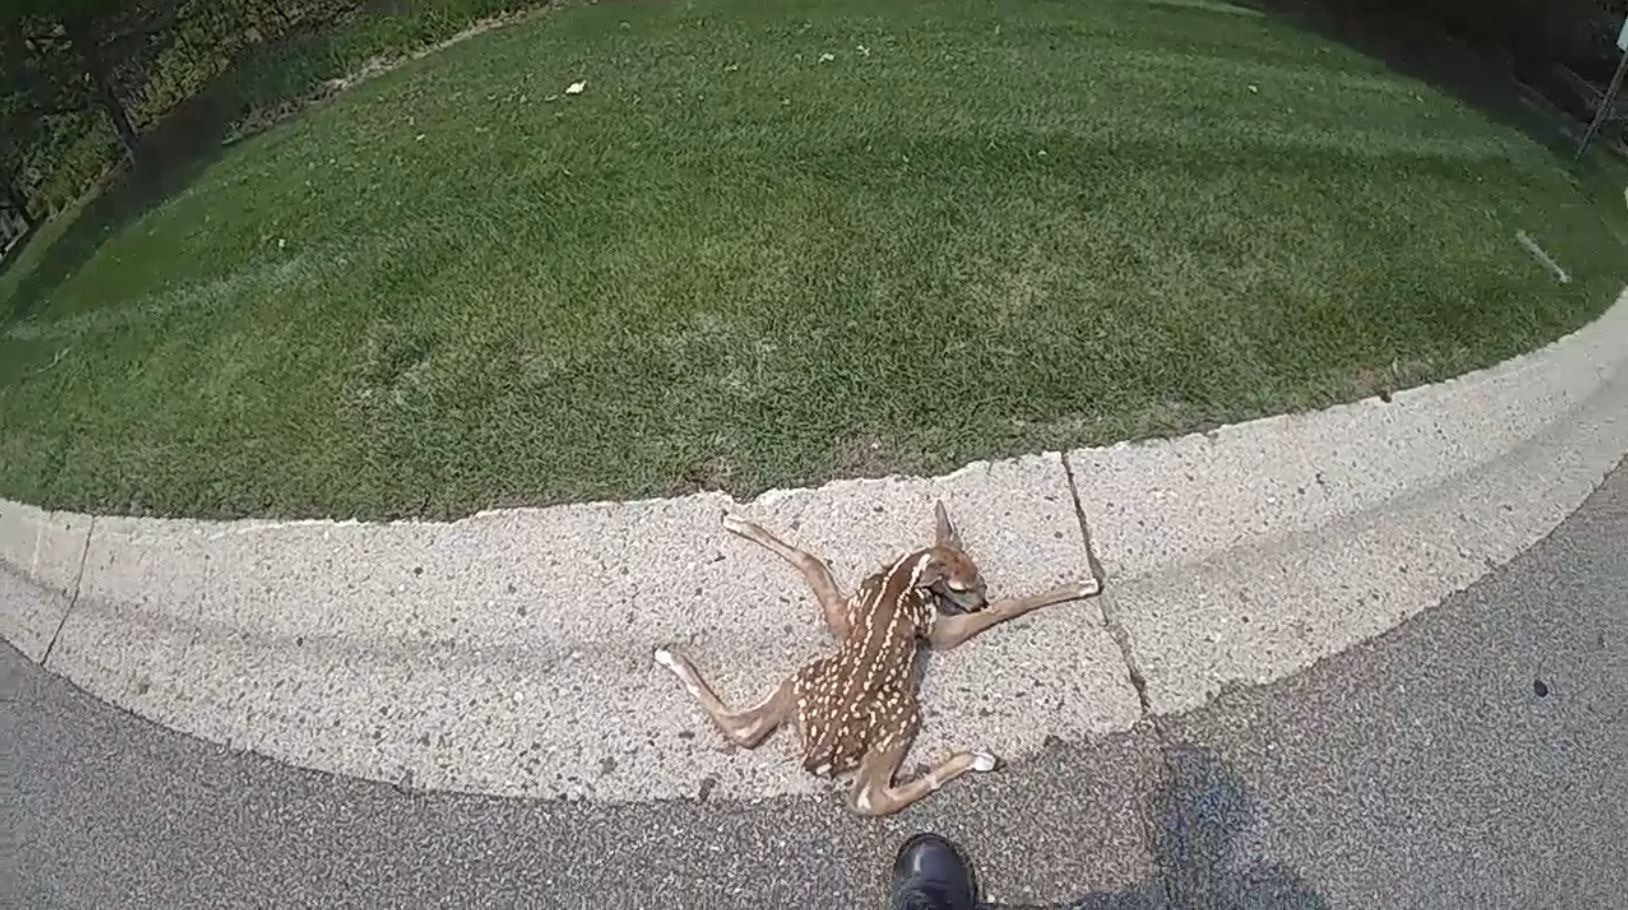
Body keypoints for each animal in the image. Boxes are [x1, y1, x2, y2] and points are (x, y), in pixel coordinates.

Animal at [653, 501, 1102, 816]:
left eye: (981, 579)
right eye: (965, 586)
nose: (980, 601)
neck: (903, 574)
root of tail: (818, 755)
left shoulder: (845, 615)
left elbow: (812, 561)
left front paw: (737, 522)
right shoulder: (936, 630)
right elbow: (1008, 610)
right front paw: (1084, 584)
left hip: (804, 675)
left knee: (746, 726)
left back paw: (668, 654)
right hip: (901, 713)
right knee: (868, 798)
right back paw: (977, 757)